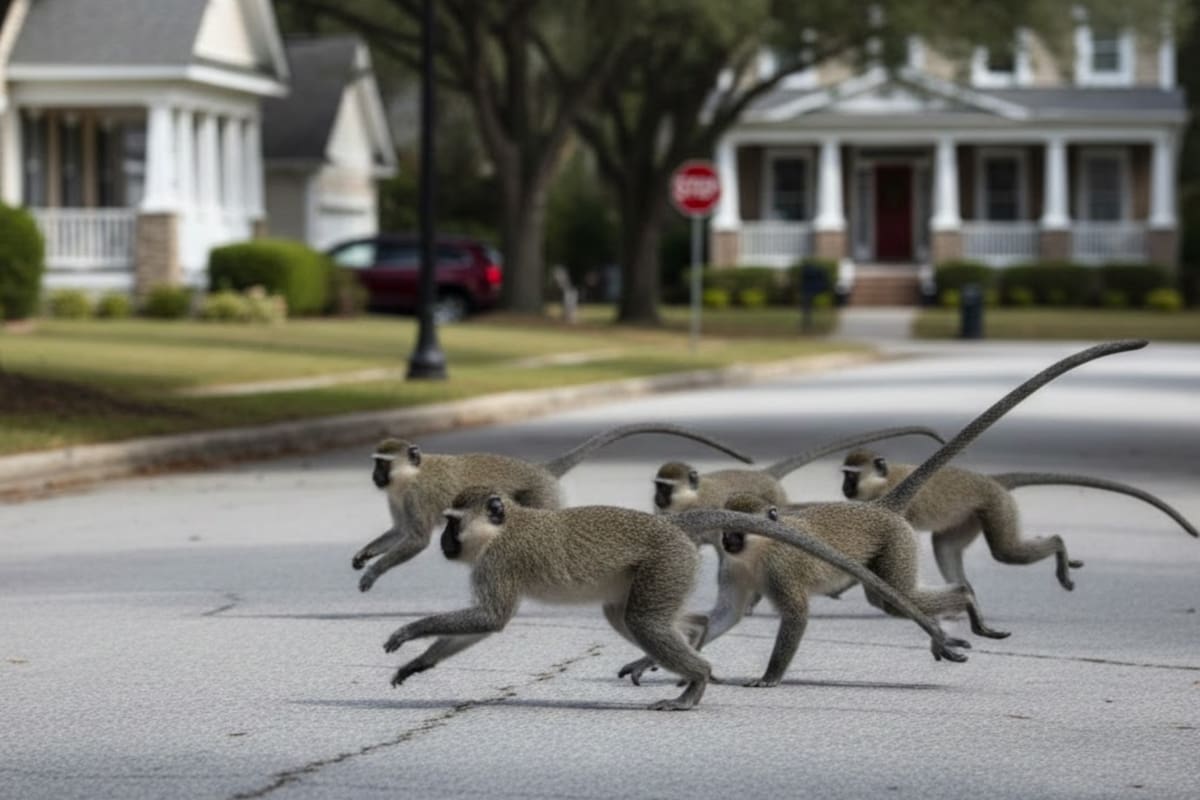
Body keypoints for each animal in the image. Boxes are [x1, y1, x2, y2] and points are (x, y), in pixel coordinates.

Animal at [352, 422, 755, 592]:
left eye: (382, 464)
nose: (373, 476)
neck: (410, 476)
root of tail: (541, 470)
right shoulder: (398, 497)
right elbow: (401, 532)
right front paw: (363, 556)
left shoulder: (416, 495)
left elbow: (417, 539)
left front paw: (372, 573)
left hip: (540, 498)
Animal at [380, 487, 970, 711]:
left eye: (453, 523)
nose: (444, 542)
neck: (502, 529)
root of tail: (676, 526)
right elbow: (483, 624)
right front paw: (418, 662)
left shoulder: (499, 562)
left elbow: (491, 618)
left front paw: (409, 633)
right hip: (664, 571)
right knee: (635, 617)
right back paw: (686, 649)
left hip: (667, 564)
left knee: (641, 620)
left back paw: (697, 680)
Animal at [617, 339, 1149, 686]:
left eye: (736, 530)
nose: (727, 541)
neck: (757, 549)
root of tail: (882, 507)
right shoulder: (735, 568)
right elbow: (724, 616)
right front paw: (650, 662)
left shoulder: (781, 569)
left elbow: (794, 617)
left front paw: (770, 677)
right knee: (892, 598)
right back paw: (961, 610)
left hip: (896, 544)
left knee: (898, 597)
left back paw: (966, 599)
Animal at [838, 450, 1199, 594]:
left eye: (851, 476)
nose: (844, 488)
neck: (884, 483)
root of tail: (992, 481)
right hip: (972, 517)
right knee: (946, 547)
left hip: (997, 507)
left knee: (1006, 551)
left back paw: (1058, 545)